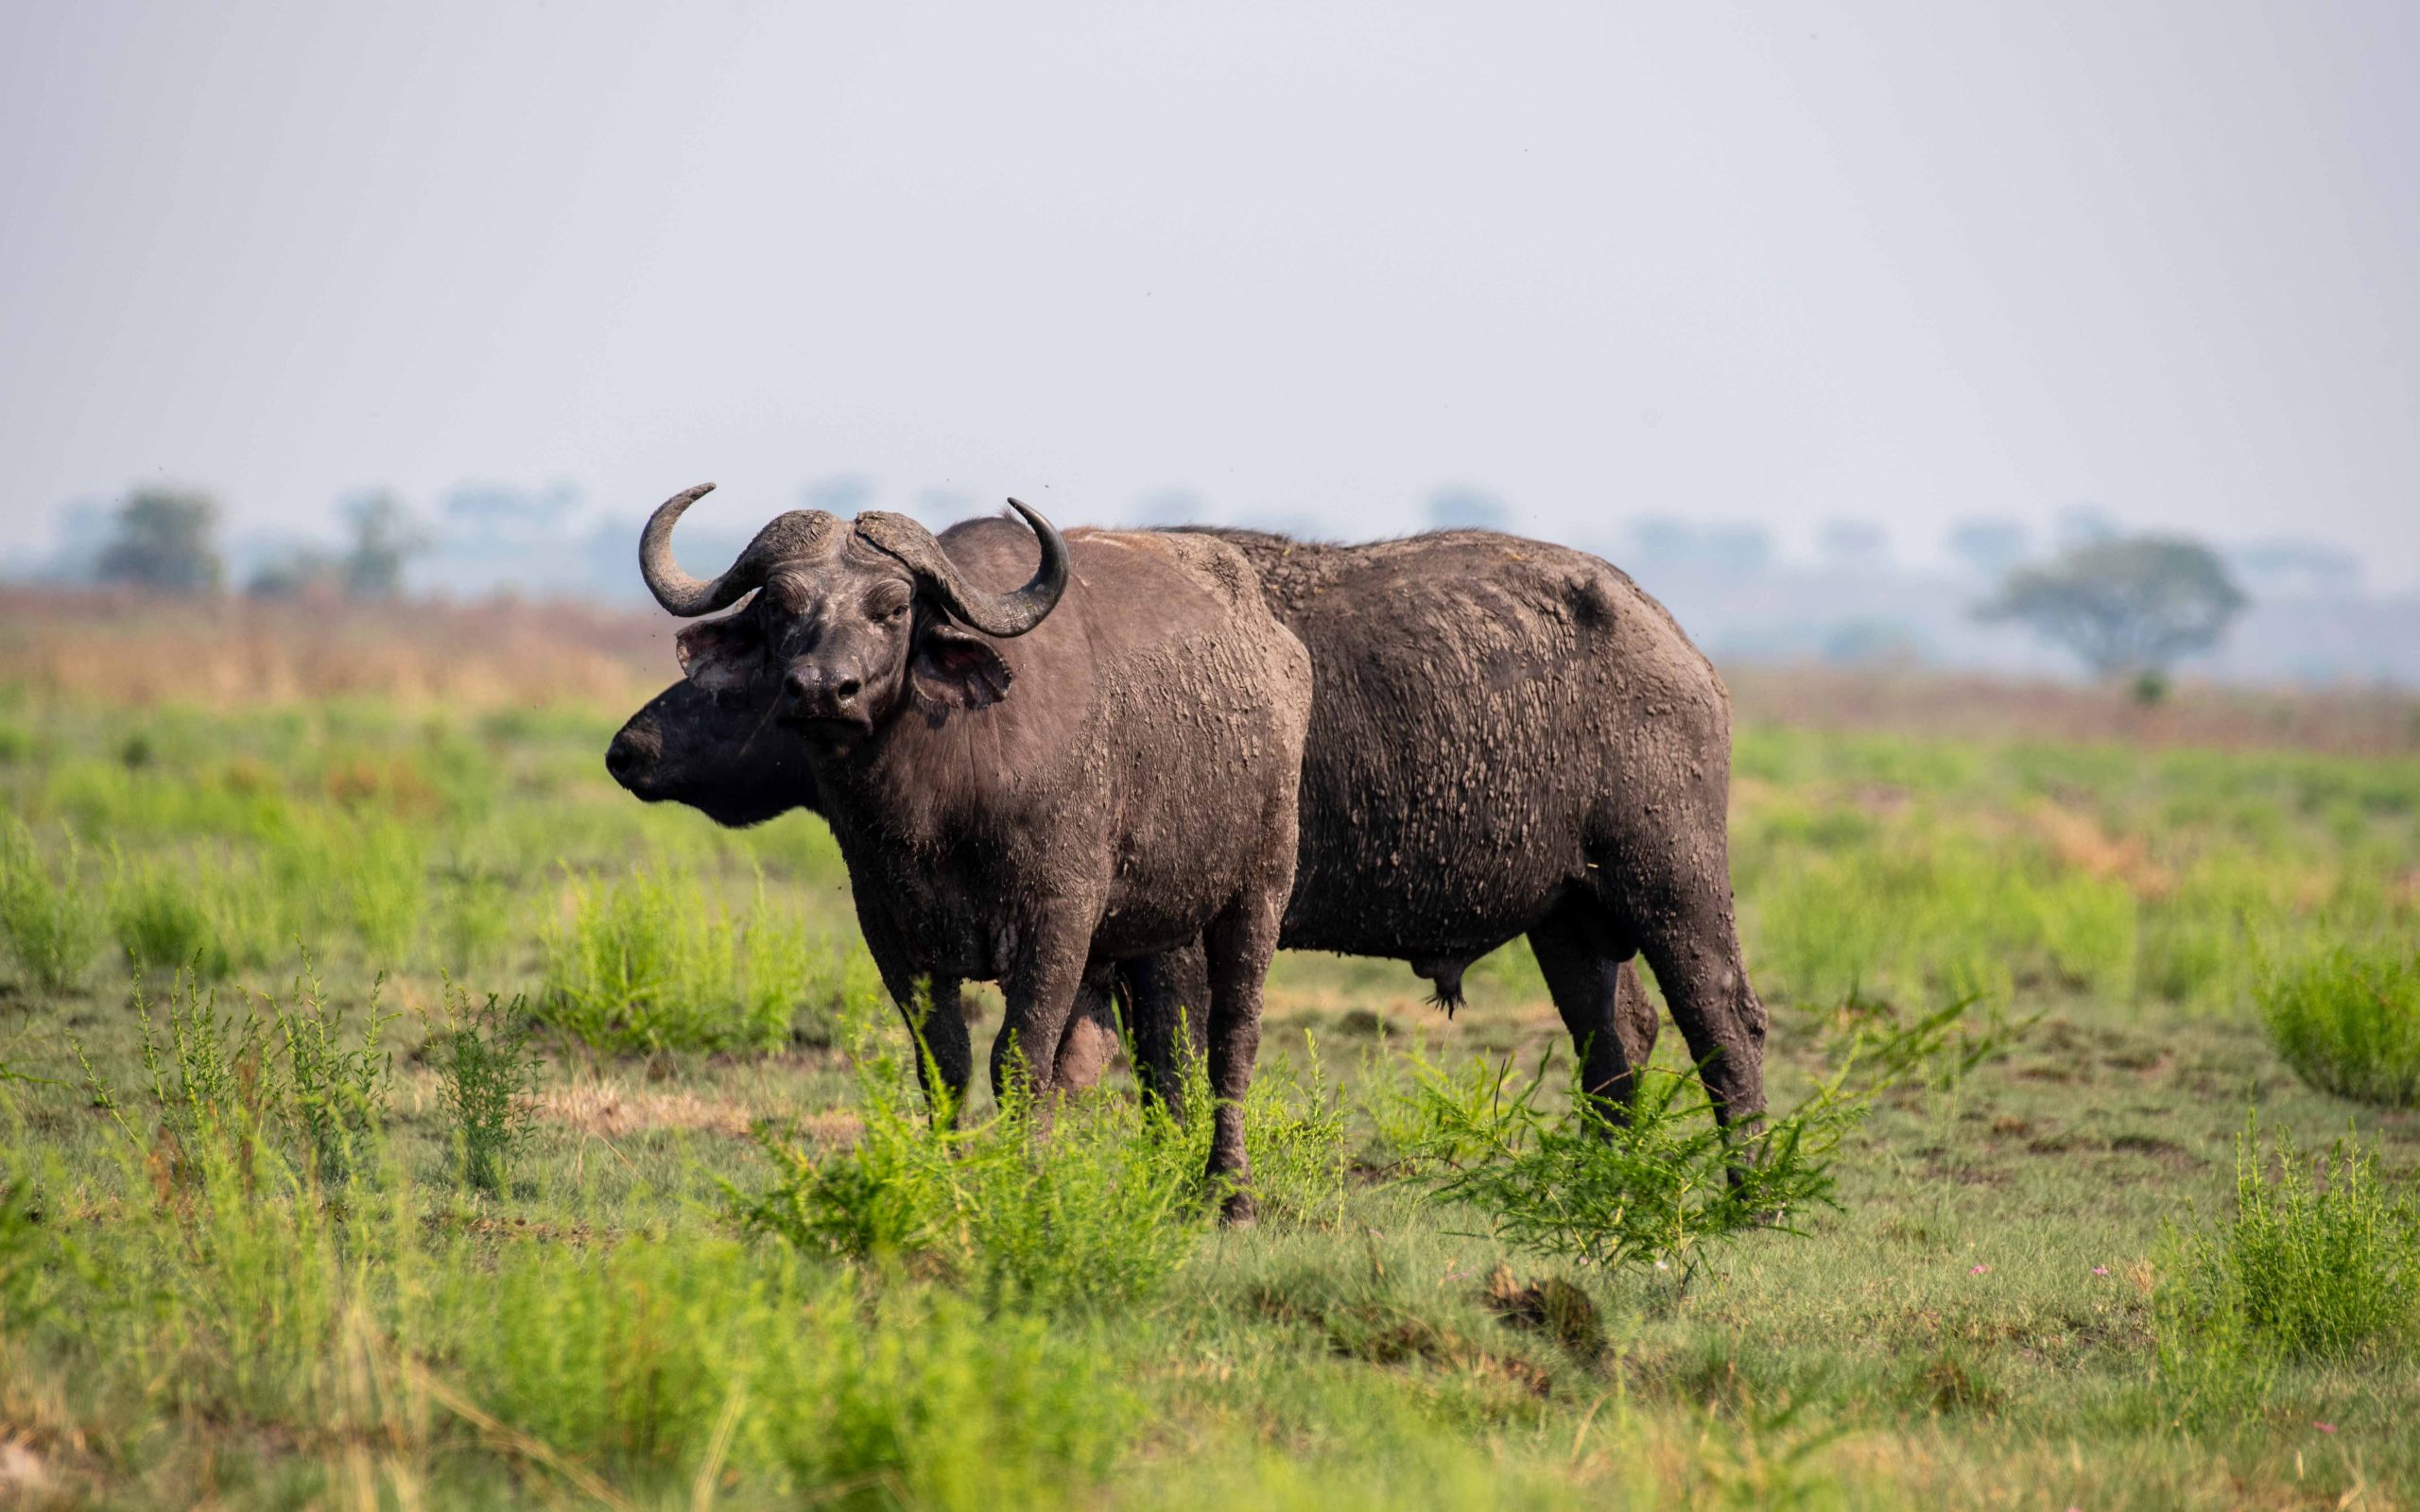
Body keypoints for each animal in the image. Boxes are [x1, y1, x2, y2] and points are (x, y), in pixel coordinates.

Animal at [629, 484, 1306, 1214]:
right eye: (780, 605)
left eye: (894, 608)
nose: (822, 689)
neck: (942, 800)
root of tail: (1281, 652)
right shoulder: (891, 926)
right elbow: (945, 1061)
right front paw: (949, 1182)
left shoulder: (1058, 918)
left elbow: (1019, 1057)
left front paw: (1024, 1183)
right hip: (1152, 928)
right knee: (1143, 1049)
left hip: (1260, 890)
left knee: (1230, 1040)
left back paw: (1230, 1193)